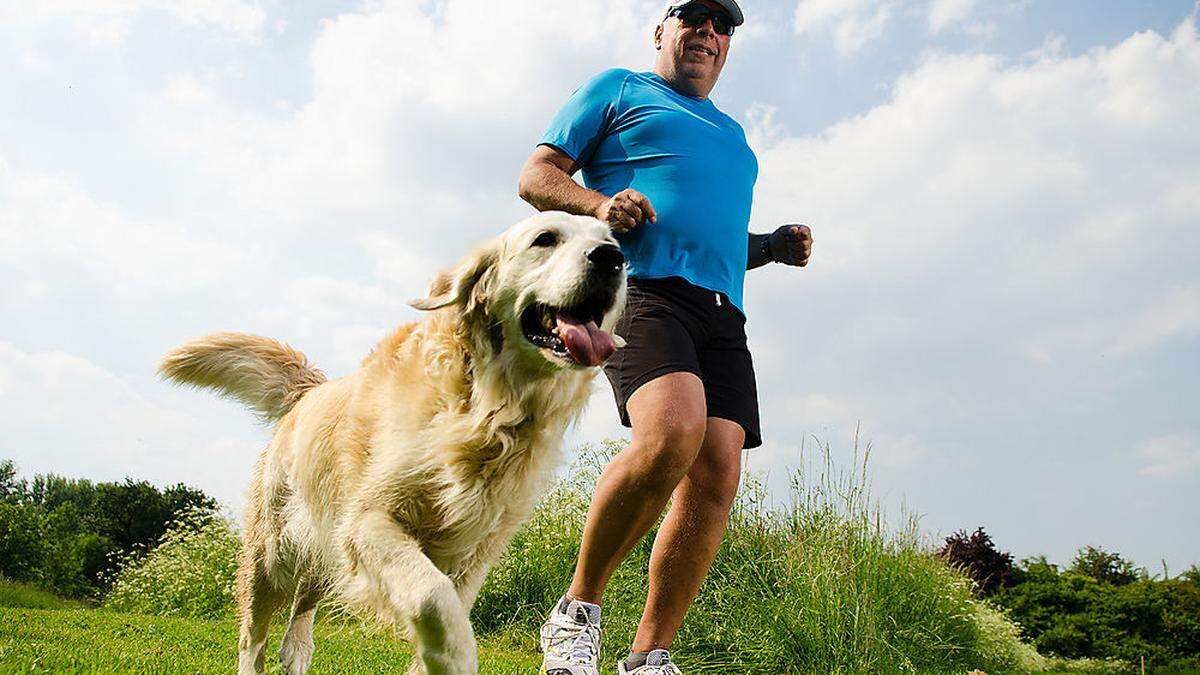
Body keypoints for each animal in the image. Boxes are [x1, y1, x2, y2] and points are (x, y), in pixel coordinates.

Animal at [159, 212, 628, 672]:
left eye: (610, 240)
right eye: (545, 239)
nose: (612, 259)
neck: (485, 407)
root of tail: (308, 391)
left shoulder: (478, 552)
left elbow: (449, 602)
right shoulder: (367, 521)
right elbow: (432, 597)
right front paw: (453, 657)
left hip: (322, 543)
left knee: (301, 616)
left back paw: (296, 654)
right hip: (273, 554)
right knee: (252, 638)